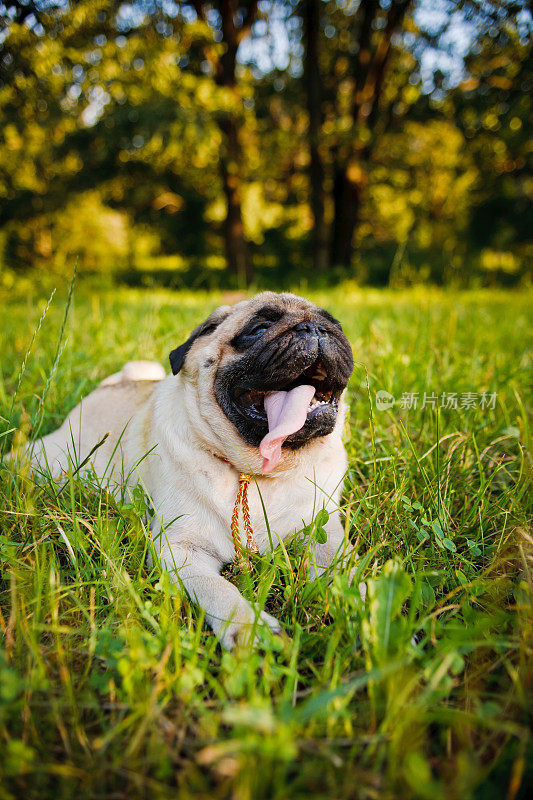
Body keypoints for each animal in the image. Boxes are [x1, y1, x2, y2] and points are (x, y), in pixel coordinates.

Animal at [22, 294, 356, 648]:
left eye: (334, 325)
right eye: (259, 328)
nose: (314, 328)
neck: (257, 471)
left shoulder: (323, 527)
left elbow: (342, 565)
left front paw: (359, 601)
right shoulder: (180, 550)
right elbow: (219, 590)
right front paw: (249, 629)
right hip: (50, 462)